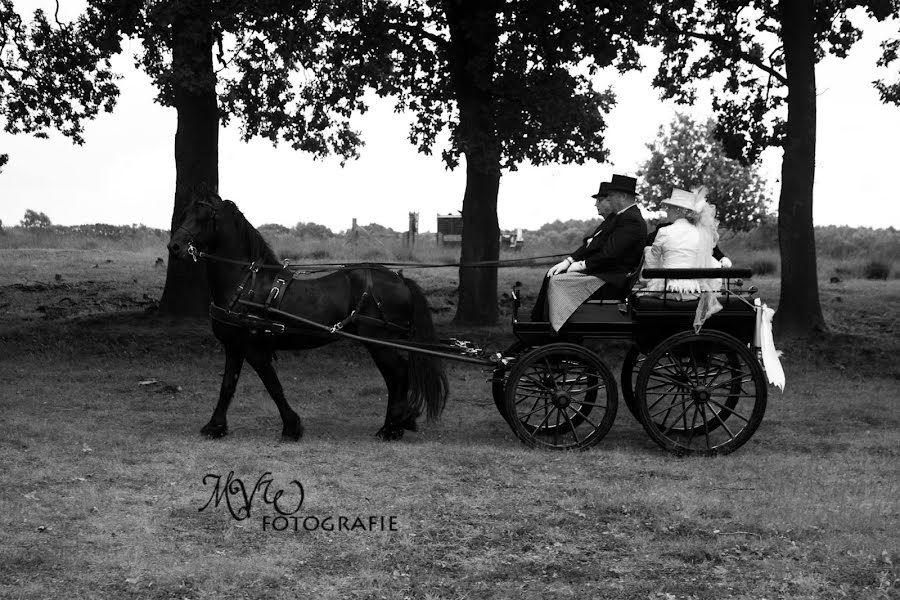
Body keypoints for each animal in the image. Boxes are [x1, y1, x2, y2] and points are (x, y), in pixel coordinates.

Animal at [165, 191, 446, 440]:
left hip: (379, 343)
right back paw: (396, 425)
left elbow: (273, 386)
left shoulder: (254, 349)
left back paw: (391, 428)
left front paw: (292, 427)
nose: (174, 247)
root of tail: (400, 278)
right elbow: (227, 387)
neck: (245, 284)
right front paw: (215, 427)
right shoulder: (234, 347)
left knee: (397, 375)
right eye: (185, 213)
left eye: (203, 216)